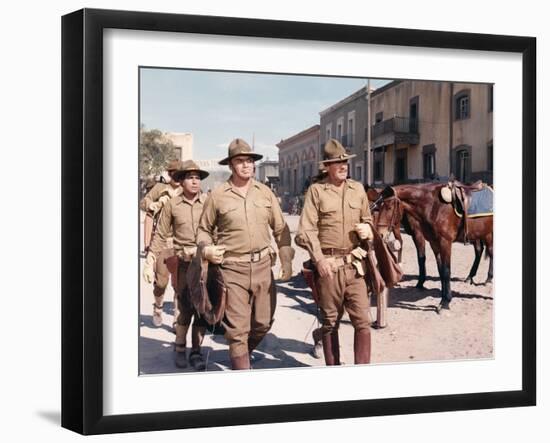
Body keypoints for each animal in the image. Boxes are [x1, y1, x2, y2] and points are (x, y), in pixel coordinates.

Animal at [376, 183, 496, 312]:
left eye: (389, 207)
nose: (380, 234)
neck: (434, 206)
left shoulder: (444, 242)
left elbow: (446, 271)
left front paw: (445, 302)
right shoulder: (434, 244)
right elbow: (441, 271)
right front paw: (443, 299)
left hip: (487, 235)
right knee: (483, 251)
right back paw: (474, 278)